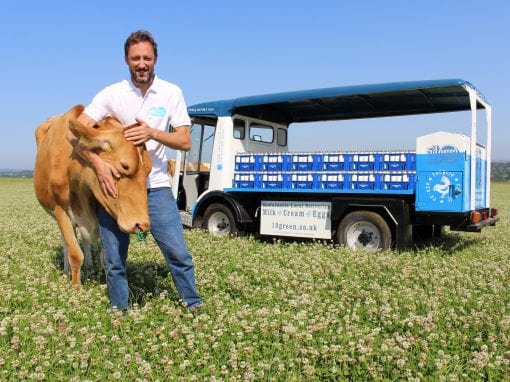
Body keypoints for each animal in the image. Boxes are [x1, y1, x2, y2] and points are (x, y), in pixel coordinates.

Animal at [34, 104, 151, 286]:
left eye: (149, 170)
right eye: (125, 166)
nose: (143, 224)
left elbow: (105, 258)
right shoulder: (61, 210)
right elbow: (75, 254)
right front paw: (76, 288)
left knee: (85, 241)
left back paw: (89, 264)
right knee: (66, 242)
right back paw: (67, 271)